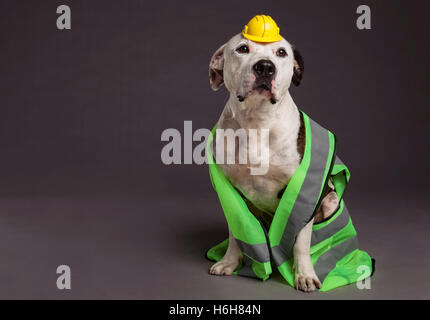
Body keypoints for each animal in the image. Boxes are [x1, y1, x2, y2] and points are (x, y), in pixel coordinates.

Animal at [207, 32, 340, 292]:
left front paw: (304, 274)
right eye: (243, 49)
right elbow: (235, 230)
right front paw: (229, 261)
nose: (265, 67)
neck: (257, 122)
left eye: (281, 52)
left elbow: (302, 239)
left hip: (331, 199)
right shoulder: (230, 191)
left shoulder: (305, 191)